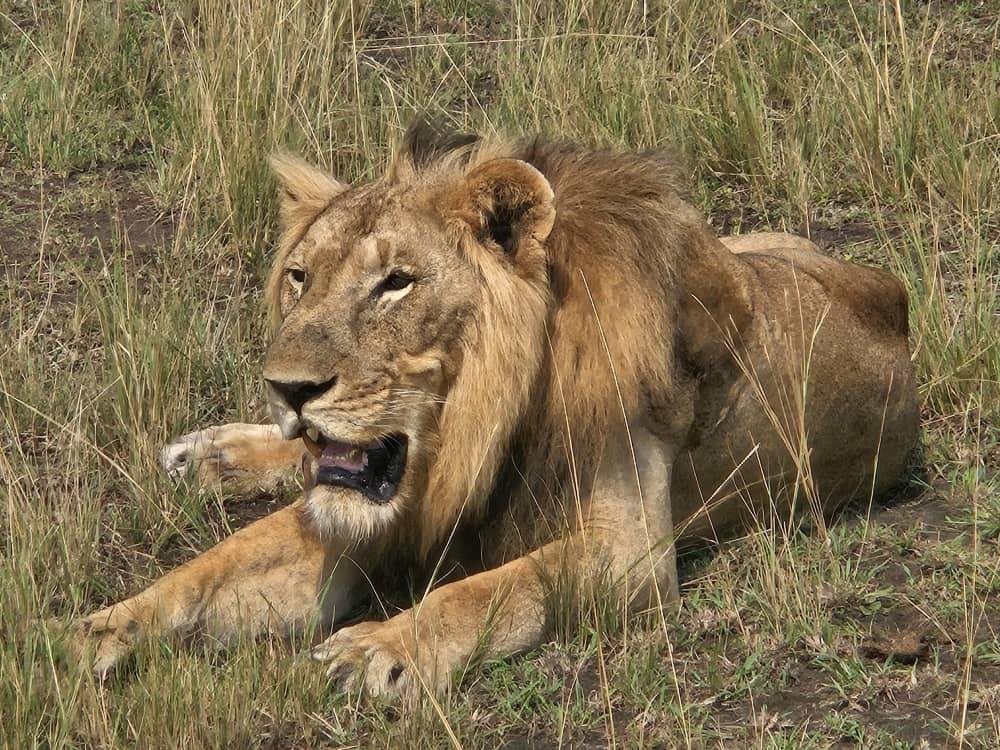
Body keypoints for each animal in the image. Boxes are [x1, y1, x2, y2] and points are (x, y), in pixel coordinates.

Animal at [70, 123, 919, 698]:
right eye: (300, 278)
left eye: (397, 283)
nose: (287, 389)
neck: (466, 430)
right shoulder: (351, 514)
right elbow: (214, 566)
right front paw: (96, 632)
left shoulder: (632, 549)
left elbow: (492, 587)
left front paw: (380, 647)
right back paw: (212, 454)